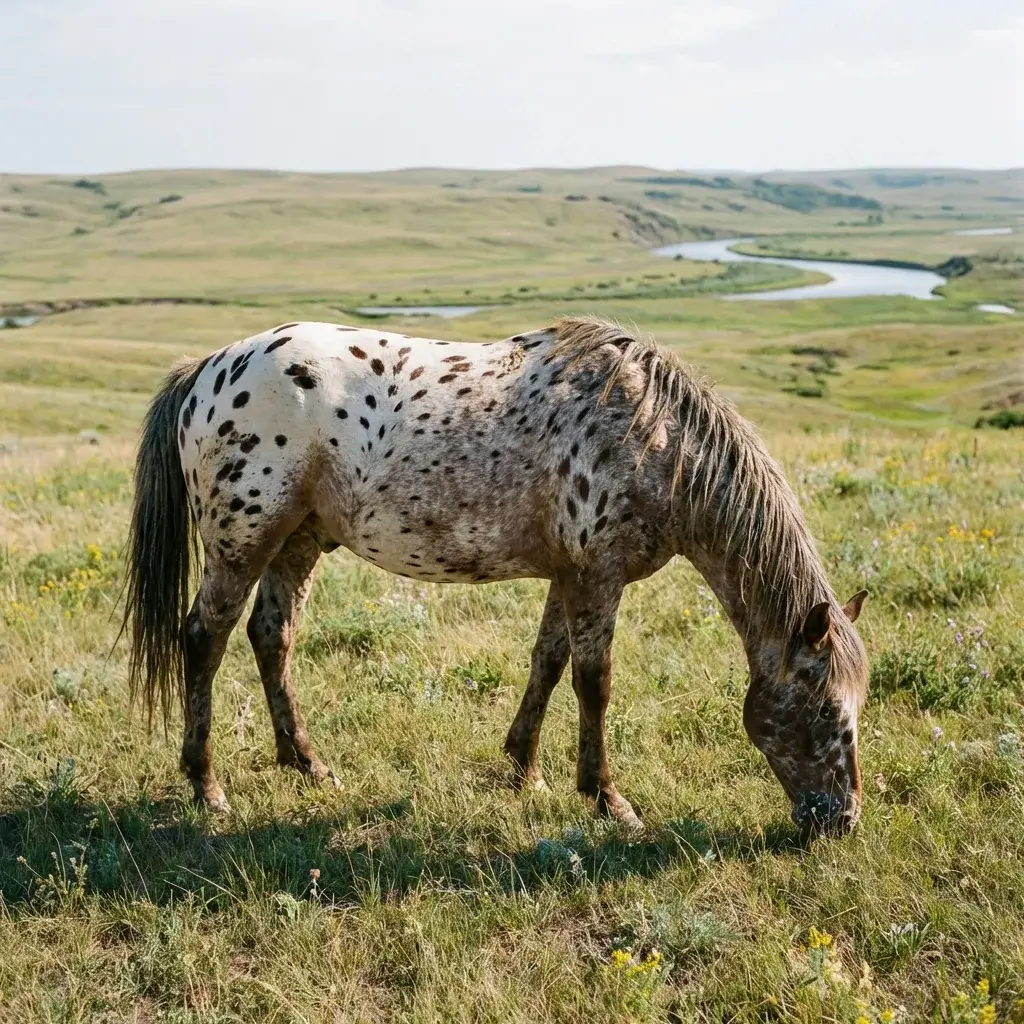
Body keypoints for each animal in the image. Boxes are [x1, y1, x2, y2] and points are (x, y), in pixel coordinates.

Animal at [121, 315, 869, 834]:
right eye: (827, 711)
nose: (840, 821)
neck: (655, 440)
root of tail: (209, 368)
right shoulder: (598, 576)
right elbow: (595, 683)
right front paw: (608, 798)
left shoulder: (570, 575)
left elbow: (548, 663)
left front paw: (523, 768)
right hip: (242, 541)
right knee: (204, 639)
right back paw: (207, 787)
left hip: (298, 539)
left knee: (271, 636)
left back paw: (307, 763)